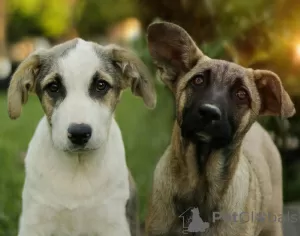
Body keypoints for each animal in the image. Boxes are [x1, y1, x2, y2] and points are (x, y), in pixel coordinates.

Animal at [7, 38, 157, 236]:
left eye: (101, 85)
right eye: (53, 87)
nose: (79, 133)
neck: (78, 168)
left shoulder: (114, 224)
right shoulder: (34, 223)